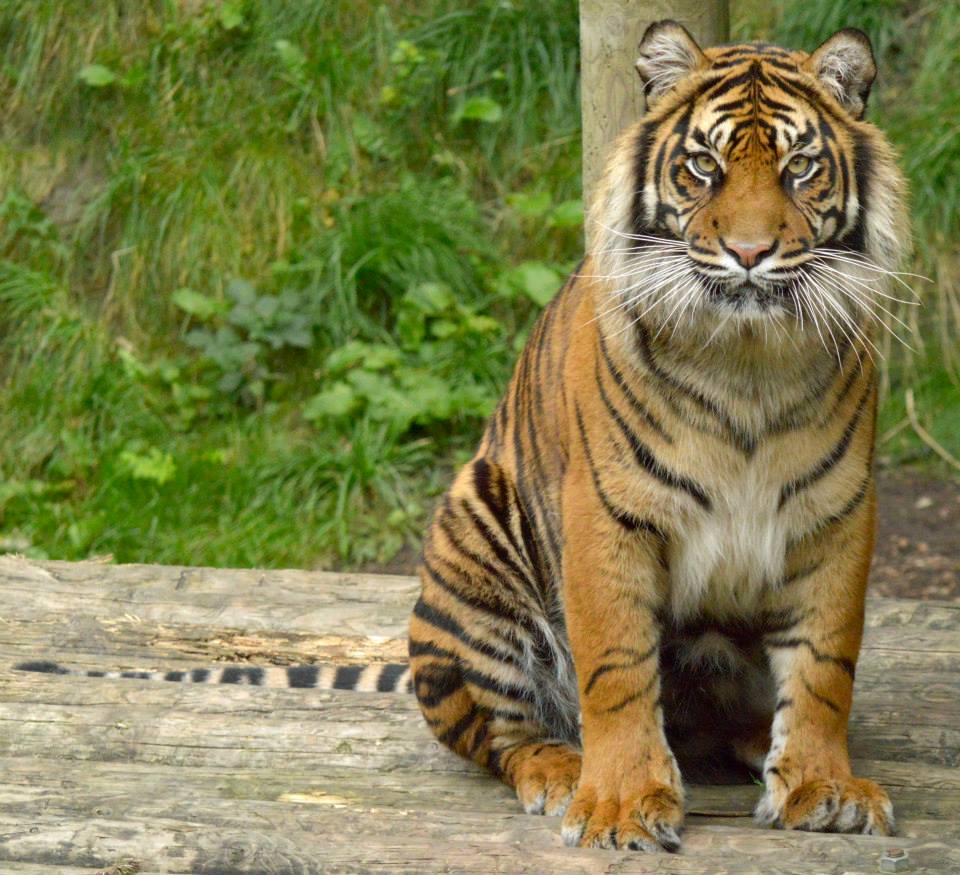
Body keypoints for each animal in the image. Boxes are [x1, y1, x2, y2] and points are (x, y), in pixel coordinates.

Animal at [408, 21, 908, 852]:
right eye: (703, 165)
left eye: (800, 167)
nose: (749, 253)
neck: (748, 365)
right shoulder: (609, 512)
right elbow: (616, 666)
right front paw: (618, 803)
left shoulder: (836, 514)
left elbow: (824, 665)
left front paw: (822, 785)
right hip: (472, 539)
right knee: (502, 734)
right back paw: (559, 770)